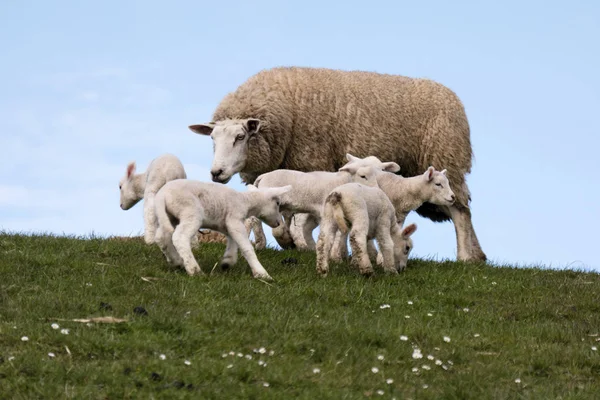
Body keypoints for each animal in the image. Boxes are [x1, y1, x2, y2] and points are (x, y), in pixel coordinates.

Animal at [151, 180, 290, 280]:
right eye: (278, 203)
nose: (278, 223)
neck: (245, 201)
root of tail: (161, 195)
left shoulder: (227, 224)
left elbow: (233, 243)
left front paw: (227, 262)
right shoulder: (234, 220)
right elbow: (246, 247)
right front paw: (262, 274)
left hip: (169, 216)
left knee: (161, 237)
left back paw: (177, 262)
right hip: (190, 211)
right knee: (179, 237)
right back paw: (194, 270)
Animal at [188, 66, 488, 262]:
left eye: (240, 137)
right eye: (212, 138)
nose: (216, 172)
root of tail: (452, 97)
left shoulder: (312, 160)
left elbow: (300, 217)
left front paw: (298, 242)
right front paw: (281, 241)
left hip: (446, 158)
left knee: (460, 212)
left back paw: (465, 257)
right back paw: (479, 255)